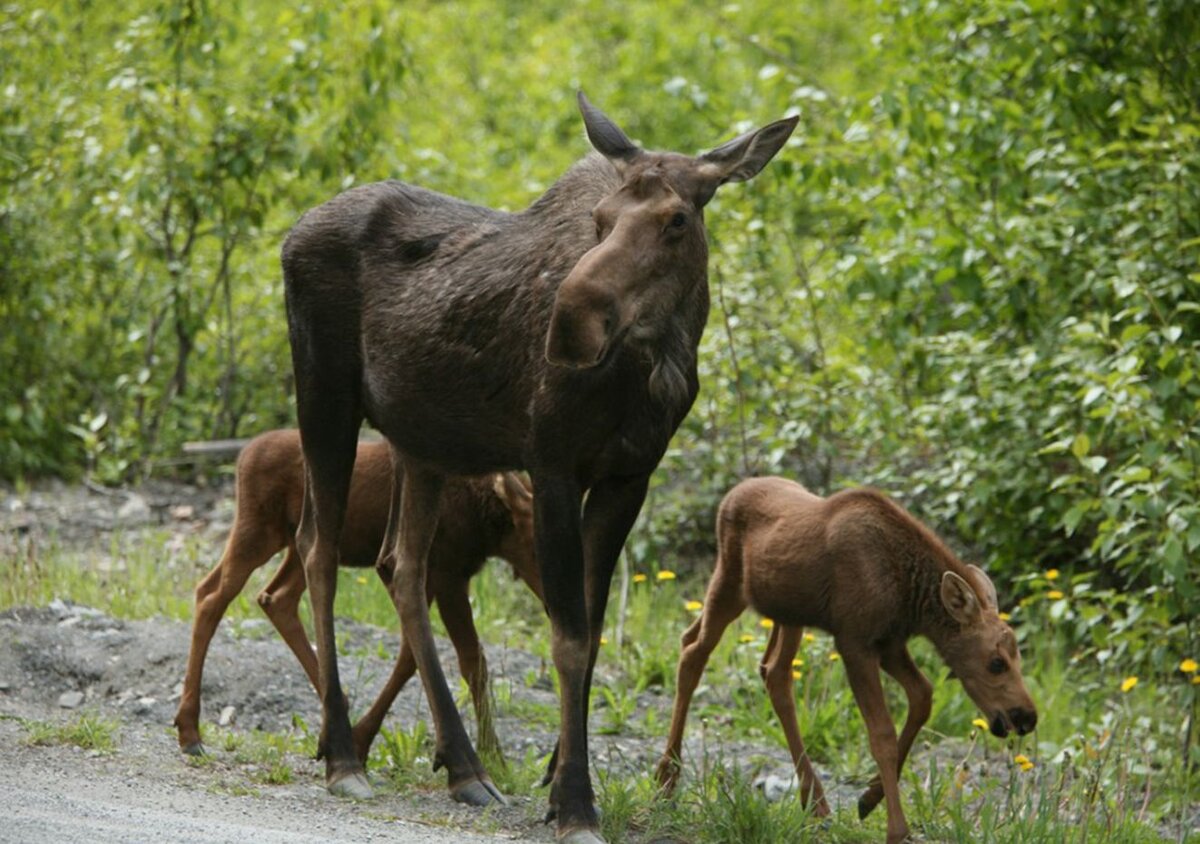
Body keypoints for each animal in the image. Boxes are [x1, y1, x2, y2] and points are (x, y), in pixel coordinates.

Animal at [172, 432, 540, 763]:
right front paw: (493, 756)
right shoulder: (447, 573)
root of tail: (243, 456)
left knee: (273, 597)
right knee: (211, 595)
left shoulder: (430, 576)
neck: (488, 518)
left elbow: (412, 654)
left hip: (297, 545)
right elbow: (470, 660)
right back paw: (190, 730)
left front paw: (362, 739)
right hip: (259, 530)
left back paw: (337, 715)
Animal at [283, 92, 796, 844]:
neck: (655, 368)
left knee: (400, 566)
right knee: (318, 549)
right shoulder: (552, 466)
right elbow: (570, 636)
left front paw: (558, 780)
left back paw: (463, 766)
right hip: (325, 396)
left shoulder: (626, 478)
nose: (571, 323)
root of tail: (292, 233)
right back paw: (344, 754)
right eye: (601, 219)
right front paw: (576, 801)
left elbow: (592, 623)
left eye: (676, 220)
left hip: (420, 443)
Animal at [652, 477, 1036, 840]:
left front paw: (869, 797)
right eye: (996, 663)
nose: (1027, 717)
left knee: (768, 670)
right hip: (729, 582)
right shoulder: (855, 642)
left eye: (1018, 656)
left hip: (787, 612)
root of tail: (730, 496)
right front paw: (897, 829)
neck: (910, 600)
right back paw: (667, 778)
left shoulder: (890, 643)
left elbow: (923, 696)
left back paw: (813, 800)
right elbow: (881, 734)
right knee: (694, 651)